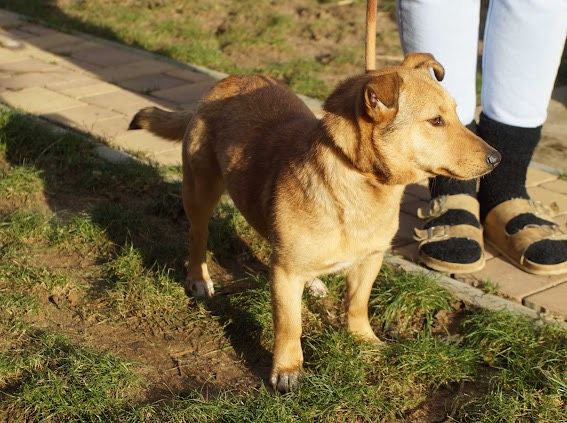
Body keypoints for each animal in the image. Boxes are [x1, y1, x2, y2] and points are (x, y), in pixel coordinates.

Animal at [130, 53, 502, 394]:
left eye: (456, 113)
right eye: (436, 121)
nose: (497, 158)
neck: (360, 180)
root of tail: (226, 81)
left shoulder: (370, 260)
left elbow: (357, 304)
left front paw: (364, 340)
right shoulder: (284, 273)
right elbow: (289, 324)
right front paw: (287, 369)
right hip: (200, 192)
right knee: (198, 235)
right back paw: (198, 278)